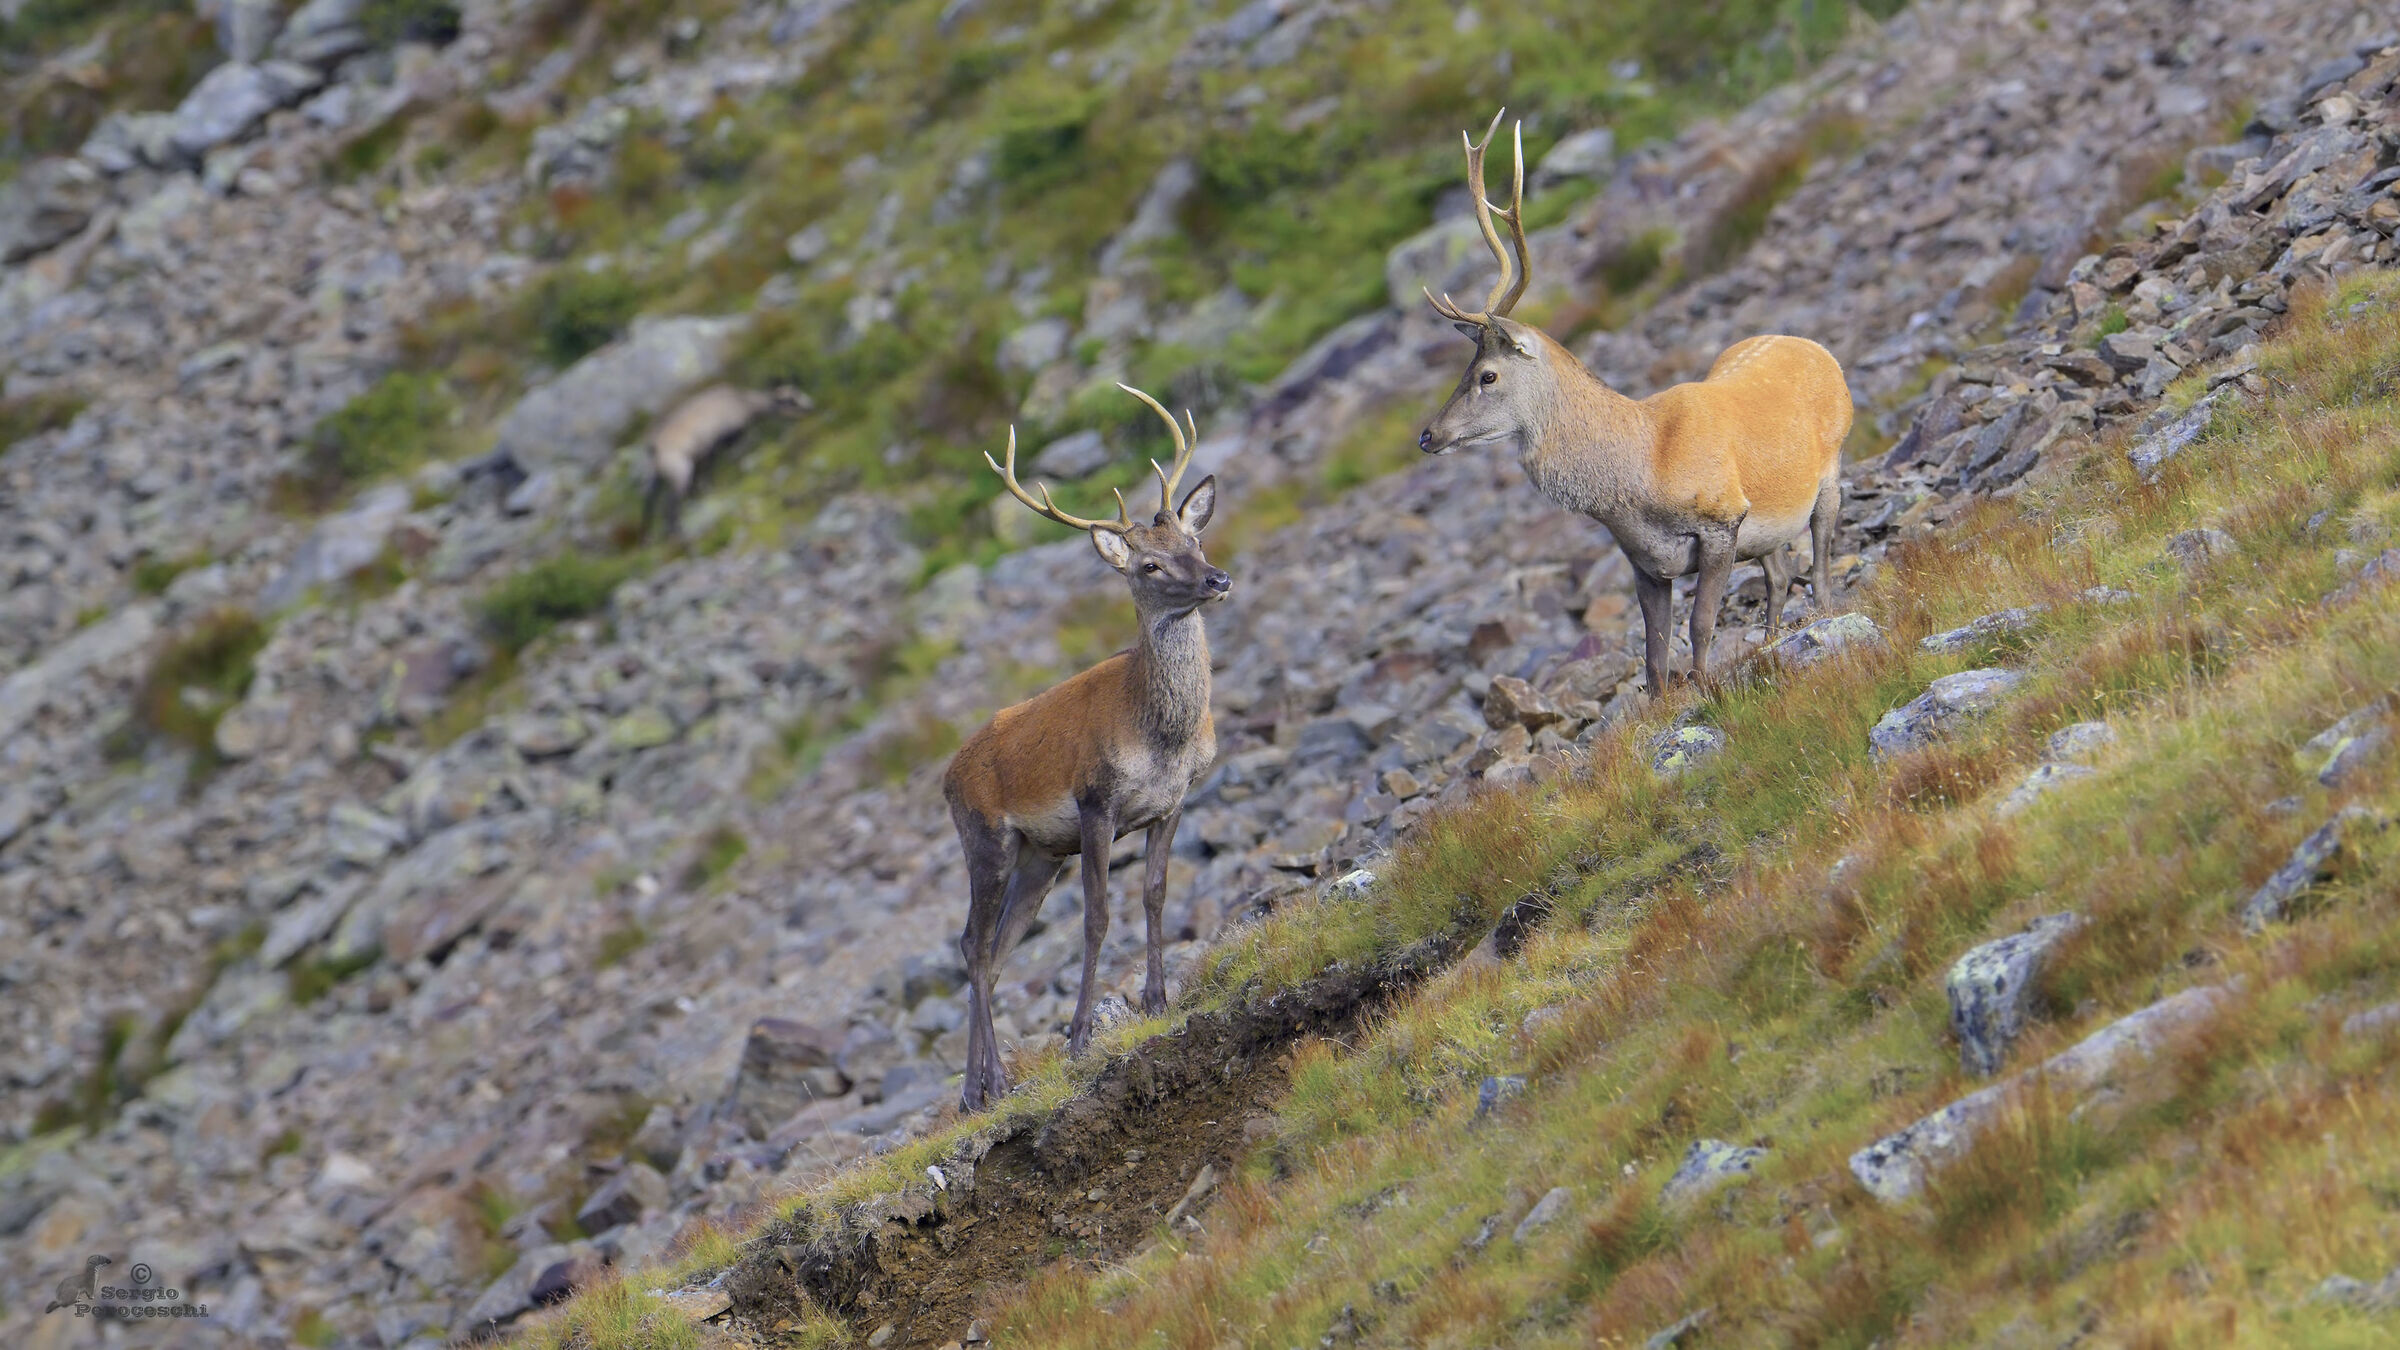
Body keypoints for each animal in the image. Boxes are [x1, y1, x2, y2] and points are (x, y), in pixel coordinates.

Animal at [640, 383, 812, 535]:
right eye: (790, 400)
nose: (810, 408)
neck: (744, 403)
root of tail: (654, 448)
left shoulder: (707, 452)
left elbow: (704, 474)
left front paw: (703, 492)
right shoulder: (720, 441)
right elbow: (715, 465)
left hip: (655, 475)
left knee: (649, 500)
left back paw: (647, 532)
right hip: (679, 469)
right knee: (669, 503)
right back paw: (675, 531)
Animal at [943, 384, 1231, 1112]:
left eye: (1194, 536)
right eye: (1149, 563)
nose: (1217, 579)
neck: (1162, 737)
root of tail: (946, 776)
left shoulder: (1172, 803)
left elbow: (1155, 893)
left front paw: (1157, 999)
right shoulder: (1097, 802)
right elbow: (1098, 918)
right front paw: (1078, 1039)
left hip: (1040, 857)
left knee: (995, 949)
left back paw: (982, 1088)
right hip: (987, 837)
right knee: (972, 944)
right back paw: (986, 1085)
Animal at [1417, 111, 1854, 696]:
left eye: (1488, 374)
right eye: (1464, 371)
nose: (1428, 435)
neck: (1643, 474)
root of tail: (1813, 346)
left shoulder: (1723, 517)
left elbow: (1701, 623)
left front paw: (1707, 690)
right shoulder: (1642, 560)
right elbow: (1653, 655)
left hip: (1831, 466)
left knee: (1821, 560)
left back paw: (1821, 618)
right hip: (1770, 528)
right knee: (1781, 574)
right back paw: (1770, 640)